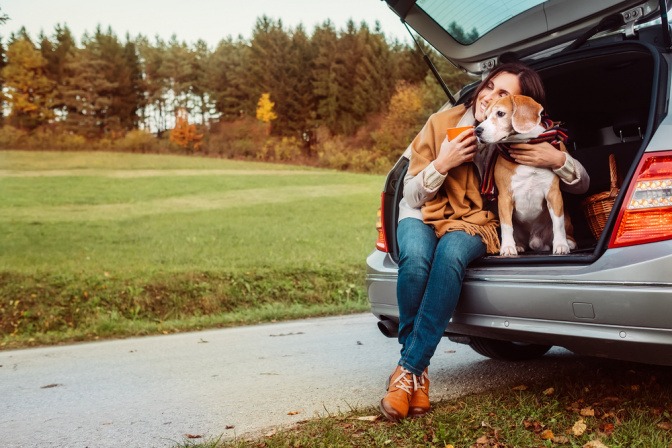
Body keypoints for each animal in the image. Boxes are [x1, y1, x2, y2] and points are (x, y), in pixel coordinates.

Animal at [476, 94, 576, 256]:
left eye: (500, 113)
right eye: (485, 117)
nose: (477, 131)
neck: (525, 144)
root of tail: (534, 240)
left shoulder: (553, 194)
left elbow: (558, 224)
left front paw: (561, 245)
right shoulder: (504, 198)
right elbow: (506, 226)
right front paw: (508, 247)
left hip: (565, 215)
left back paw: (570, 242)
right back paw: (518, 245)